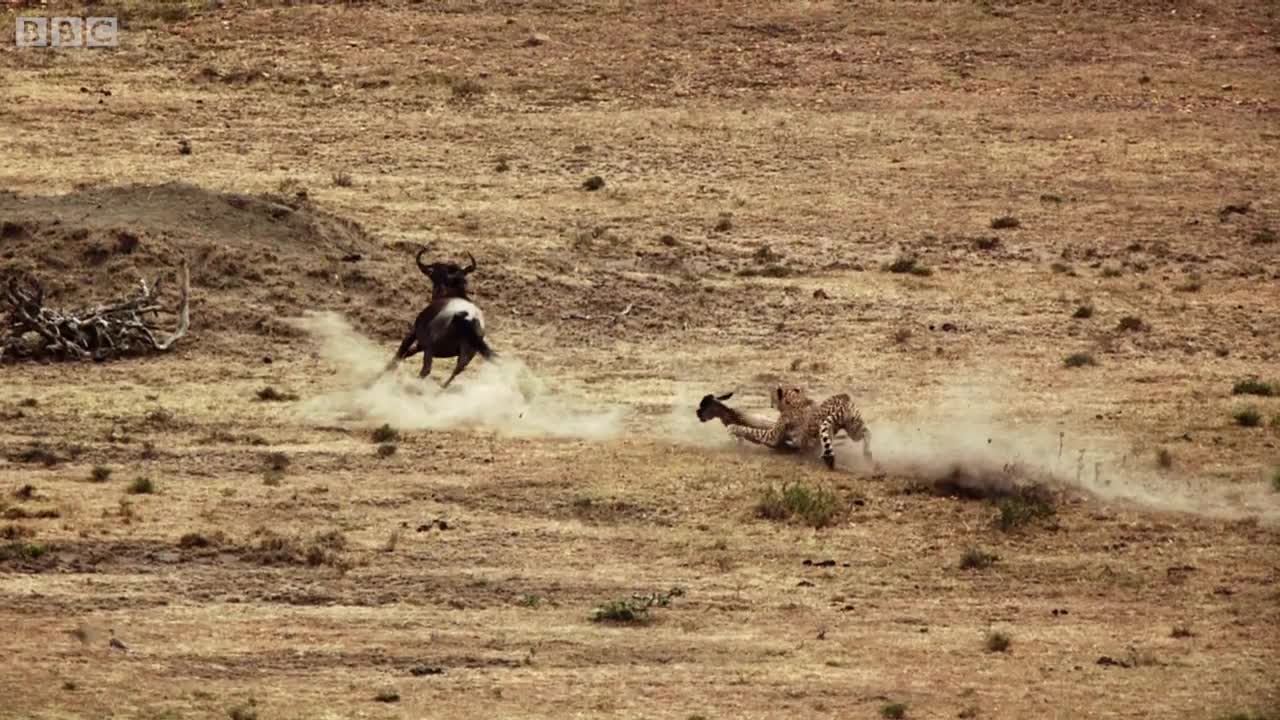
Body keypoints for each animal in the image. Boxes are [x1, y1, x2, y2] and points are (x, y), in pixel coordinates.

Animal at [727, 384, 875, 468]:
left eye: (772, 397)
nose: (770, 404)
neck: (793, 399)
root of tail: (843, 397)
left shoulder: (772, 436)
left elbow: (751, 429)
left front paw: (733, 427)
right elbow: (761, 423)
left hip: (823, 424)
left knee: (822, 439)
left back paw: (825, 456)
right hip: (853, 428)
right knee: (866, 432)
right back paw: (867, 452)